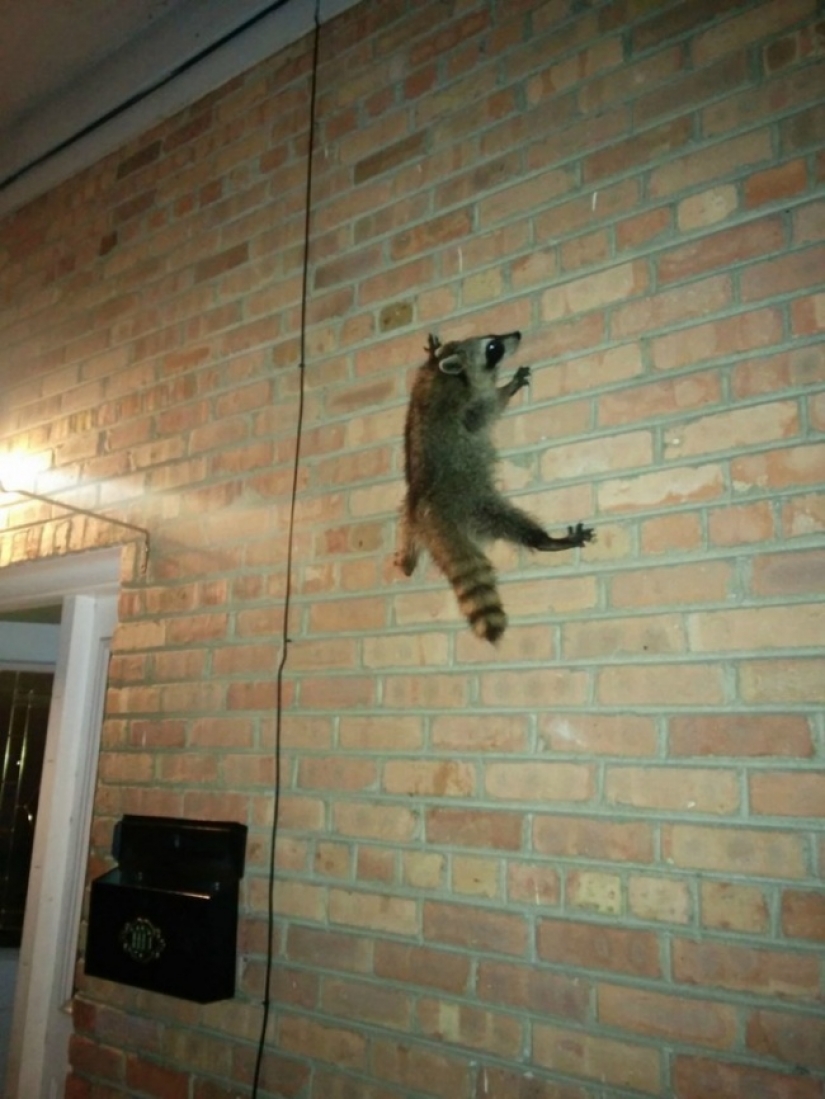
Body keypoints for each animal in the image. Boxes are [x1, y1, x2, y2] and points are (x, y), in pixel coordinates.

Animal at [396, 331, 594, 643]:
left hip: (407, 513)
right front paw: (506, 388)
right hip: (472, 501)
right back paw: (543, 539)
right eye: (493, 347)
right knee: (503, 519)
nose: (517, 334)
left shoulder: (423, 383)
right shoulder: (465, 406)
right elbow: (485, 411)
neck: (456, 375)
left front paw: (433, 352)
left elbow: (429, 364)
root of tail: (427, 512)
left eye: (493, 339)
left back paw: (406, 560)